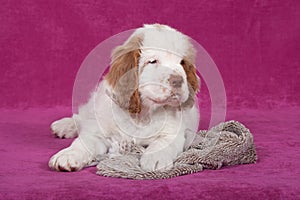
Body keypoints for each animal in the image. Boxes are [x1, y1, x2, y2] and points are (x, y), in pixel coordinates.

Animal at [48, 24, 199, 172]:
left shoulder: (173, 132)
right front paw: (68, 155)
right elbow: (85, 141)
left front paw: (155, 159)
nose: (178, 81)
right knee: (84, 117)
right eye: (152, 61)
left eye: (182, 62)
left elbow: (163, 143)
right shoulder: (100, 132)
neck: (141, 115)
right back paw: (64, 126)